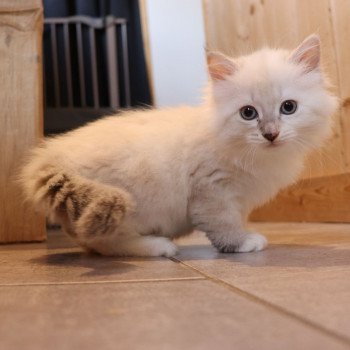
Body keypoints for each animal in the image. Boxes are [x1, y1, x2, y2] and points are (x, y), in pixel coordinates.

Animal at [20, 34, 338, 258]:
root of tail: (50, 157)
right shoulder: (211, 190)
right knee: (105, 242)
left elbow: (236, 219)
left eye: (288, 108)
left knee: (90, 244)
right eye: (248, 113)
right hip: (127, 205)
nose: (270, 134)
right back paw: (159, 248)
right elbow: (225, 224)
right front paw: (243, 243)